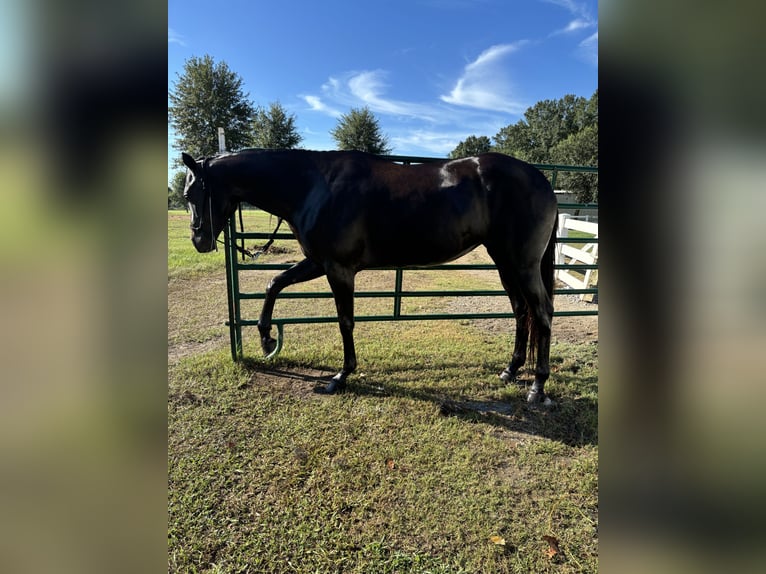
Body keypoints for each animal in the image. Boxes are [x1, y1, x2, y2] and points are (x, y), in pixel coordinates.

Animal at [184, 151, 560, 408]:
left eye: (191, 194)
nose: (199, 241)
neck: (313, 187)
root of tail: (542, 181)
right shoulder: (317, 262)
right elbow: (274, 282)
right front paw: (266, 339)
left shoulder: (338, 269)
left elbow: (345, 321)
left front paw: (341, 376)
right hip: (505, 264)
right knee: (521, 312)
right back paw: (510, 370)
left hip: (523, 265)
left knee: (541, 314)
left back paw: (537, 387)